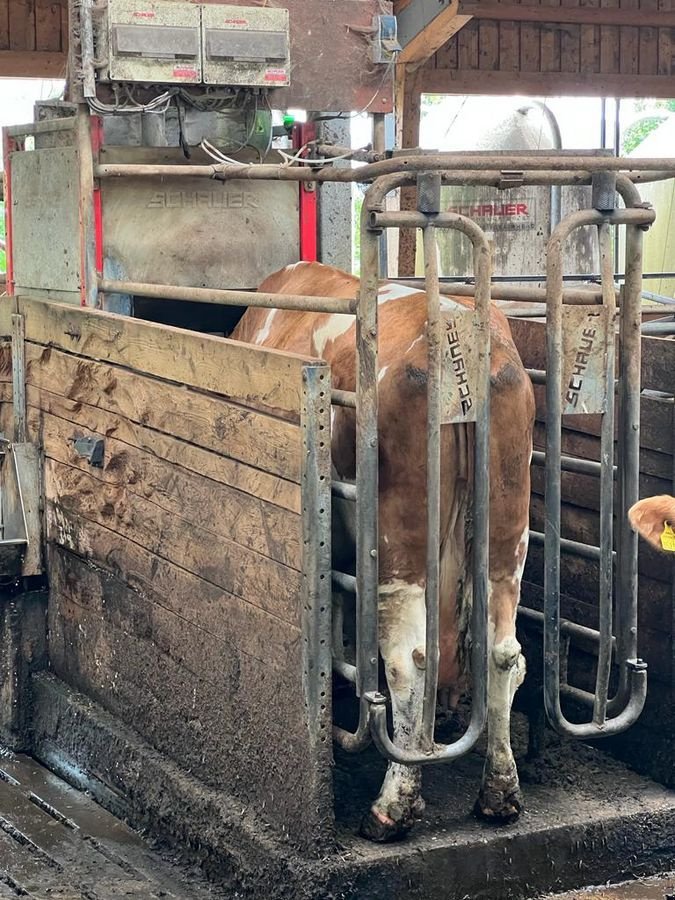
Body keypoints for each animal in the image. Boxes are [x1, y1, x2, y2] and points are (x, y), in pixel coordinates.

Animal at [230, 262, 536, 844]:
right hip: (506, 532)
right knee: (502, 652)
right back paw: (499, 793)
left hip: (401, 541)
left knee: (408, 661)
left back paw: (392, 807)